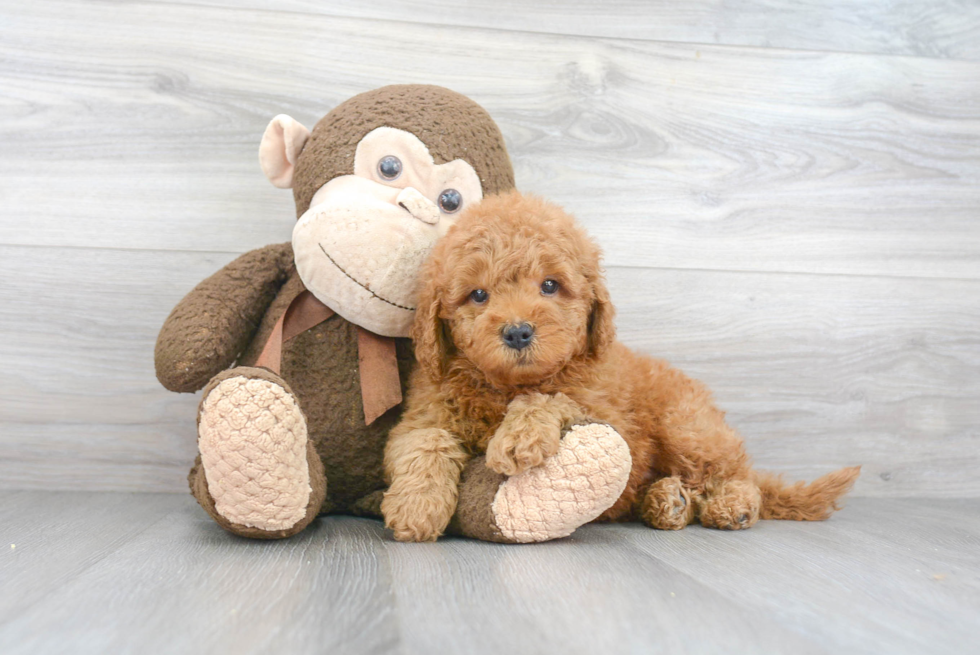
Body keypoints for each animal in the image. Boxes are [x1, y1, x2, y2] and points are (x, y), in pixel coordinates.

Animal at [382, 191, 856, 544]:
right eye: (478, 295)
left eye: (550, 285)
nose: (517, 332)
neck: (506, 386)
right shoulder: (427, 409)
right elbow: (424, 442)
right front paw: (415, 508)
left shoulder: (606, 414)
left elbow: (552, 398)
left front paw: (520, 435)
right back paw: (667, 502)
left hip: (688, 428)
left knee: (736, 474)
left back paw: (730, 505)